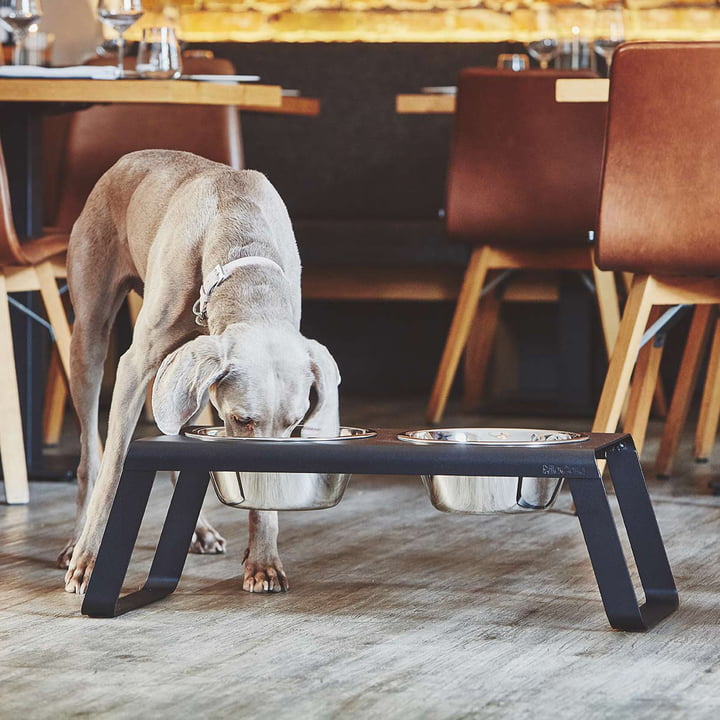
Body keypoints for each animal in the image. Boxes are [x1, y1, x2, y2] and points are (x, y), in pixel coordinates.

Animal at [62, 149, 340, 592]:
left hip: (183, 373)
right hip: (89, 336)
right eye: (241, 420)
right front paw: (90, 560)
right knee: (91, 454)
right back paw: (76, 543)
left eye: (296, 423)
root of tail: (126, 159)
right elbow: (114, 468)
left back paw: (200, 531)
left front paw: (263, 560)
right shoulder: (134, 368)